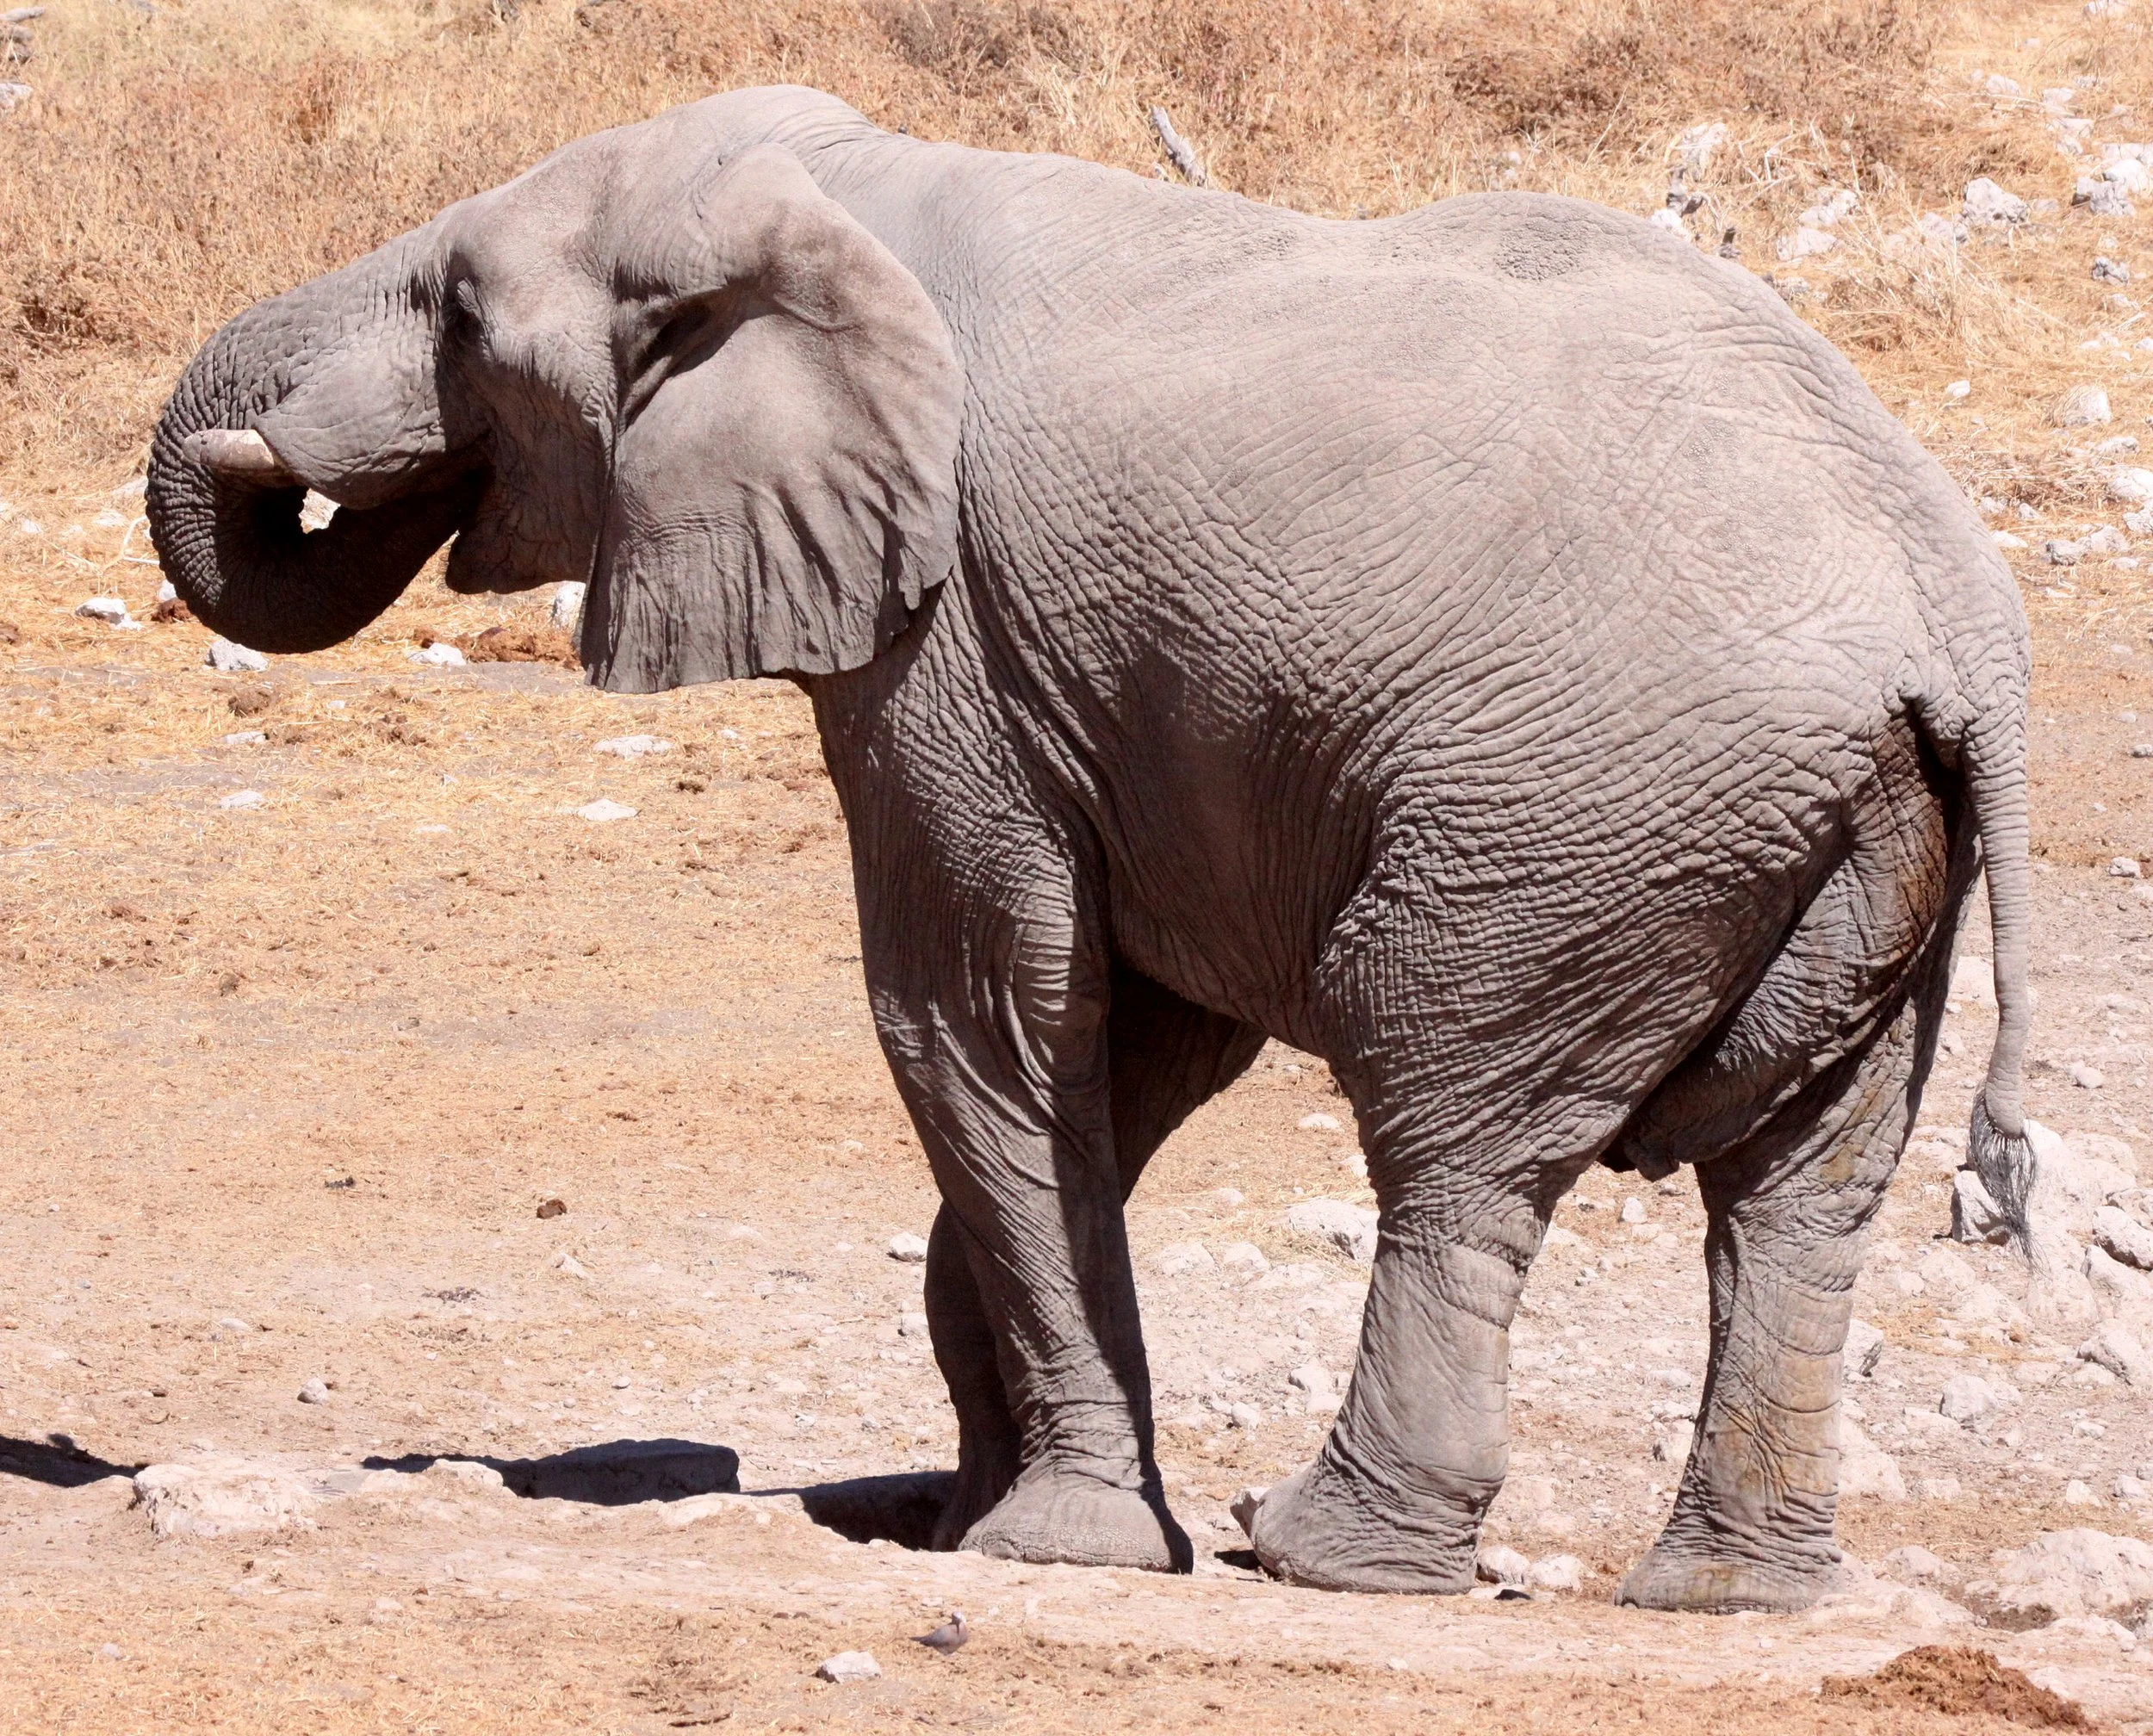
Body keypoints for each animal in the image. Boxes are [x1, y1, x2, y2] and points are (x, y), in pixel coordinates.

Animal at [147, 85, 2036, 1614]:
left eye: (461, 311)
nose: (278, 455)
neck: (843, 186)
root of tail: (1950, 623)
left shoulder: (951, 642)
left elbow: (972, 1012)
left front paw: (1052, 1547)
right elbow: (1131, 1039)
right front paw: (951, 1508)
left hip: (1574, 824)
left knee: (1456, 1134)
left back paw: (1323, 1557)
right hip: (1850, 852)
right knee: (1801, 1193)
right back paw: (1729, 1597)